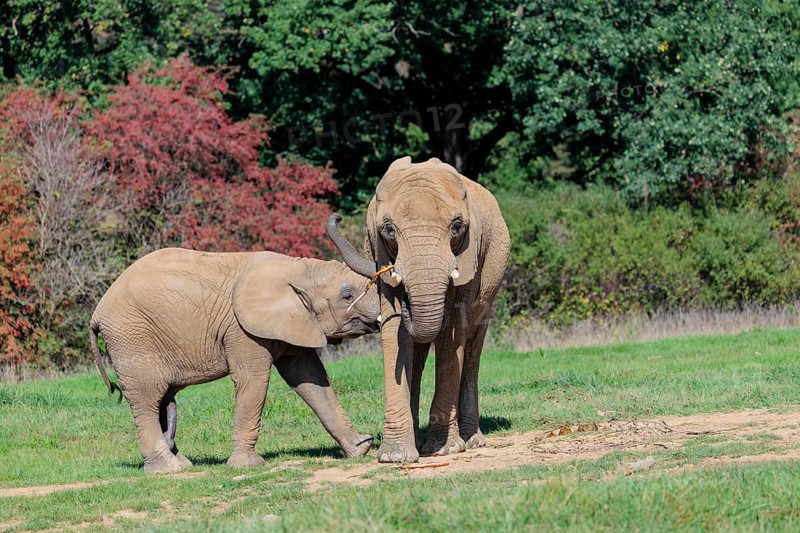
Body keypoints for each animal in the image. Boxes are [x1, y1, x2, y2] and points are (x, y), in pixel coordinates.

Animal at [90, 247, 379, 473]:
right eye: (347, 296)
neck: (298, 268)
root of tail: (96, 312)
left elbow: (310, 378)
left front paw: (359, 449)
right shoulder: (241, 330)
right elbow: (254, 380)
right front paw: (248, 465)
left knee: (163, 400)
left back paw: (182, 463)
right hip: (131, 339)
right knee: (147, 398)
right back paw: (168, 469)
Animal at [327, 156, 509, 463]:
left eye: (457, 226)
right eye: (388, 229)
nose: (337, 216)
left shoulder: (470, 253)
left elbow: (452, 334)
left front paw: (444, 449)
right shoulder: (382, 256)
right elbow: (395, 331)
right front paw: (395, 457)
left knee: (472, 347)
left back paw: (471, 441)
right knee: (418, 353)